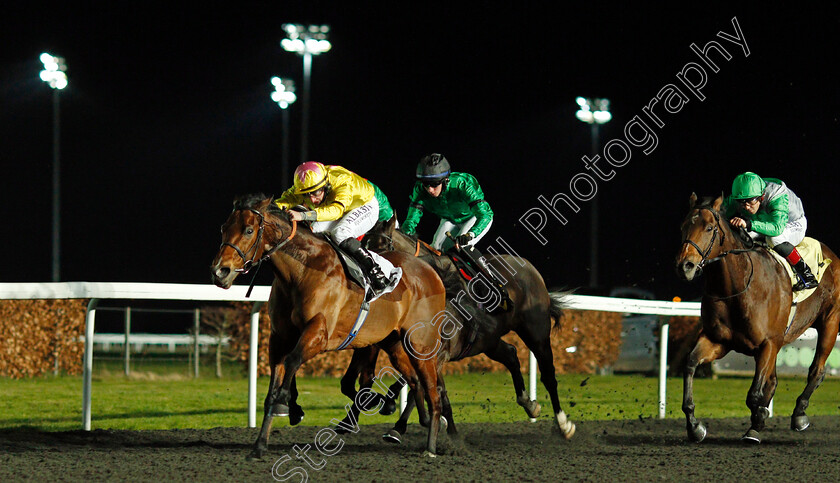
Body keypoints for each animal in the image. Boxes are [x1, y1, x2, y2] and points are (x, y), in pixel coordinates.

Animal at [210, 196, 450, 458]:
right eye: (223, 228)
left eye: (248, 230)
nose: (219, 271)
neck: (301, 271)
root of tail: (431, 272)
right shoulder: (279, 338)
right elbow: (273, 386)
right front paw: (260, 444)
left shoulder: (319, 334)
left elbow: (293, 361)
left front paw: (286, 404)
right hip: (393, 344)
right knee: (416, 381)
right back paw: (413, 422)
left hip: (421, 345)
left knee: (433, 391)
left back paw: (431, 446)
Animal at [338, 216, 576, 442]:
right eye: (363, 245)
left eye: (382, 246)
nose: (369, 284)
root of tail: (529, 266)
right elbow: (362, 379)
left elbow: (416, 381)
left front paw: (396, 415)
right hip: (490, 341)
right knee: (510, 354)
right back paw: (529, 403)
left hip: (536, 332)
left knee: (548, 374)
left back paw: (563, 424)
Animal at [676, 195, 840, 444]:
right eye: (683, 226)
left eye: (709, 228)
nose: (685, 266)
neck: (738, 288)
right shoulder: (718, 340)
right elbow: (690, 364)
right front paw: (695, 426)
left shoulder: (768, 343)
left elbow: (754, 393)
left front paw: (757, 424)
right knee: (774, 380)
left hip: (830, 322)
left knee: (817, 370)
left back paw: (799, 415)